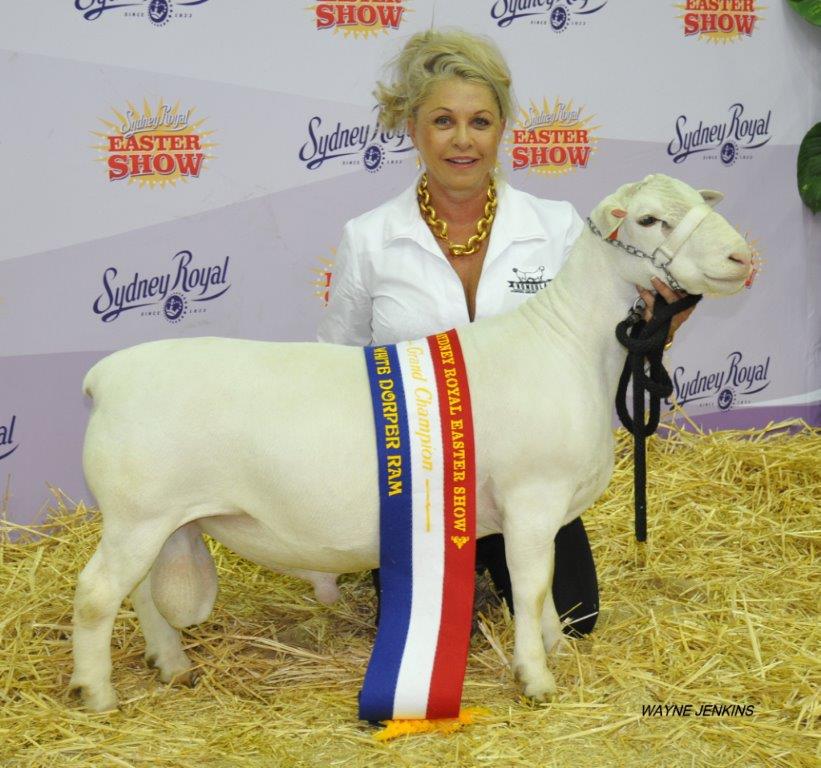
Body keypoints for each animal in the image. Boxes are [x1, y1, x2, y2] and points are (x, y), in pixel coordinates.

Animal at [70, 174, 752, 712]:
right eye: (649, 218)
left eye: (700, 201)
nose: (744, 257)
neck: (567, 343)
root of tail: (107, 376)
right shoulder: (532, 499)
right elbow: (532, 585)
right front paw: (535, 678)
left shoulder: (543, 509)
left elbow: (546, 588)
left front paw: (553, 645)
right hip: (139, 514)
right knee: (98, 594)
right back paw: (96, 693)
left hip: (156, 521)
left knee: (138, 594)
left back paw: (171, 665)